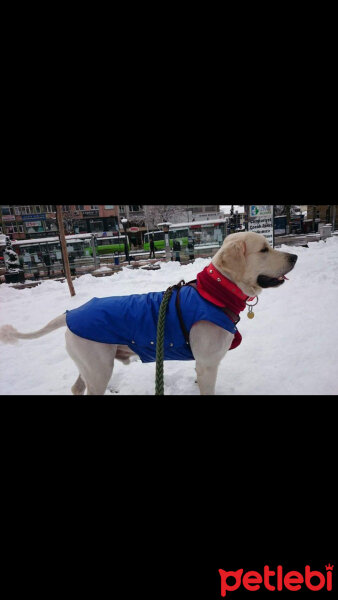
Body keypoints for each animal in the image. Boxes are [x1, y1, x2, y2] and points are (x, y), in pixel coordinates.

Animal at [0, 231, 298, 394]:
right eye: (264, 249)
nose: (294, 257)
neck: (214, 291)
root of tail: (70, 313)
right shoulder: (208, 363)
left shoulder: (203, 364)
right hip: (99, 368)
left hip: (89, 366)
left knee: (76, 387)